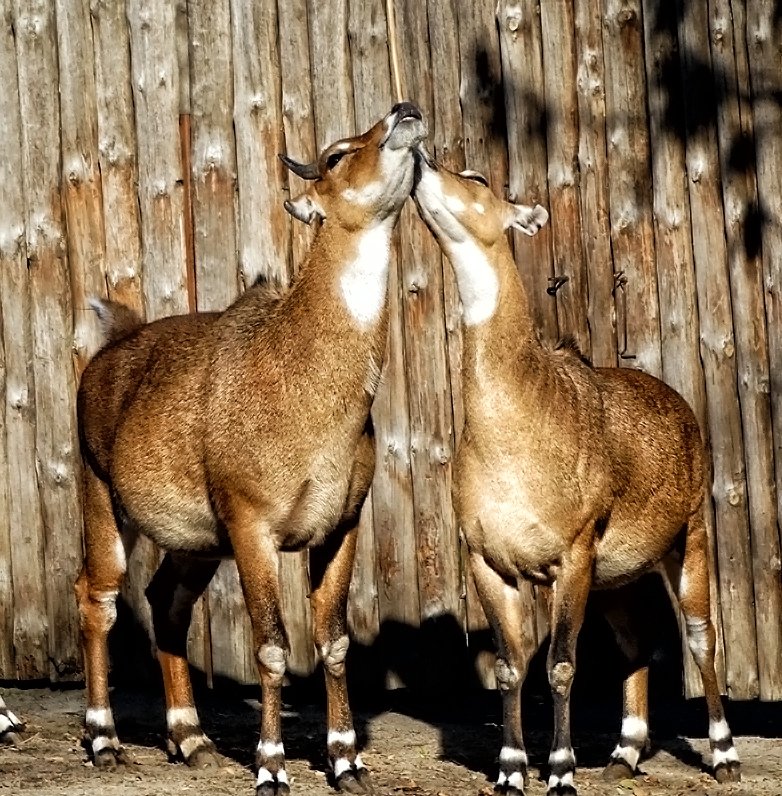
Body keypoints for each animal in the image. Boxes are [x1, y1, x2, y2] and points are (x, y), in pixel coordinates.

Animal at [75, 102, 428, 792]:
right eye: (337, 154)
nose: (405, 113)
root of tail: (108, 350)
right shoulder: (252, 524)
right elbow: (271, 644)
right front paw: (271, 765)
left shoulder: (341, 524)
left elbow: (334, 640)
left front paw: (345, 760)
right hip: (104, 496)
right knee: (97, 597)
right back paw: (104, 741)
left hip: (196, 542)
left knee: (165, 602)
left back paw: (192, 739)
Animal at [414, 151, 744, 796]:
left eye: (478, 179)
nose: (417, 159)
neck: (514, 422)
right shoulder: (488, 559)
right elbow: (510, 666)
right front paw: (510, 769)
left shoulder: (572, 553)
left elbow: (562, 665)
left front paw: (561, 769)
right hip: (617, 576)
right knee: (636, 643)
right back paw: (625, 752)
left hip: (689, 536)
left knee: (701, 636)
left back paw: (723, 754)